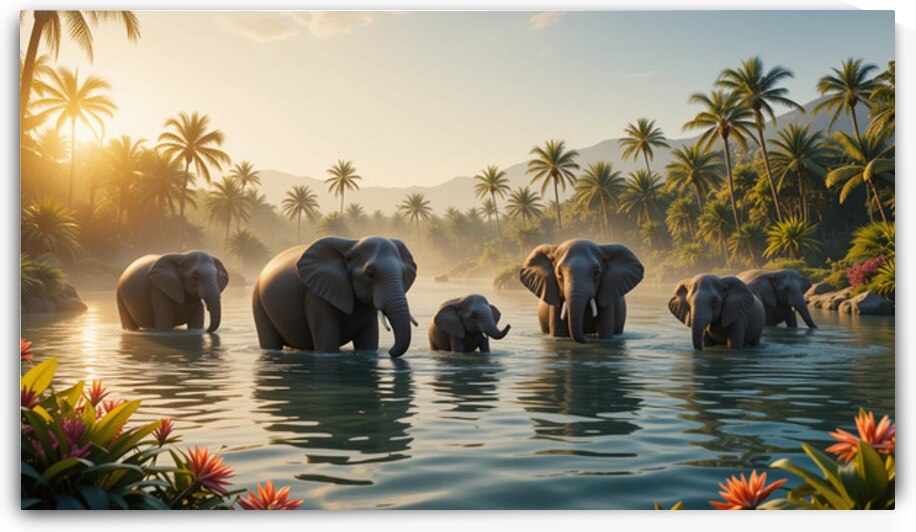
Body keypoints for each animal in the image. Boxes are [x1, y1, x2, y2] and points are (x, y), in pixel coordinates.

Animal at [252, 236, 418, 357]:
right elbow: (328, 346)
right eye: (370, 274)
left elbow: (368, 341)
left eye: (403, 273)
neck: (351, 245)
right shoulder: (315, 296)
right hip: (258, 303)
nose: (389, 352)